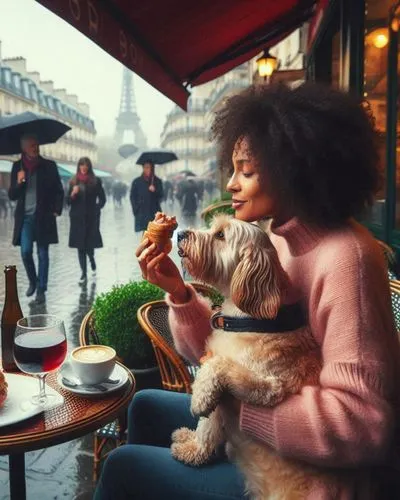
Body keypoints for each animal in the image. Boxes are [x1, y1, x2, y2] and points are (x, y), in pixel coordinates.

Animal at [172, 216, 340, 500]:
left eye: (220, 235)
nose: (181, 234)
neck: (251, 319)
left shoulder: (267, 387)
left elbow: (215, 375)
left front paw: (198, 409)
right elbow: (207, 426)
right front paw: (192, 444)